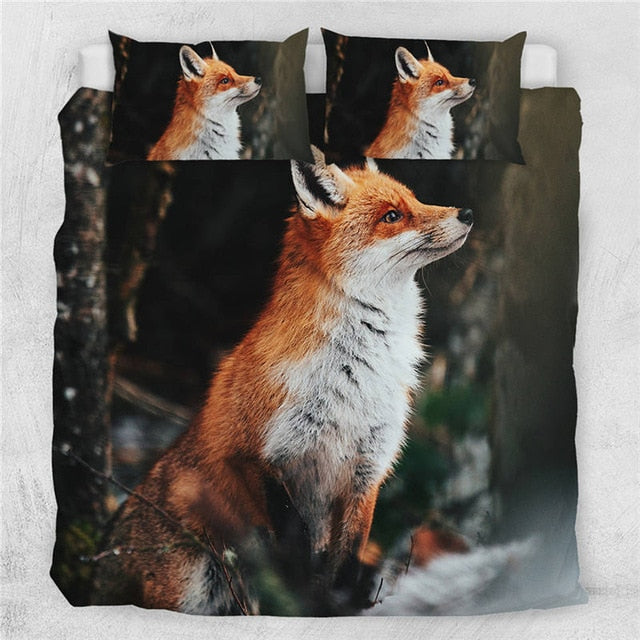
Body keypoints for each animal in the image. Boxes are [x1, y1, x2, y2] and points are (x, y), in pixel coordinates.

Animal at [90, 147, 473, 615]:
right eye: (392, 216)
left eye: (416, 200)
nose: (467, 212)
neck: (356, 377)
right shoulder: (255, 455)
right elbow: (295, 554)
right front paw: (305, 602)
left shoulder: (367, 470)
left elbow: (345, 563)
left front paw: (334, 606)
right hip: (191, 589)